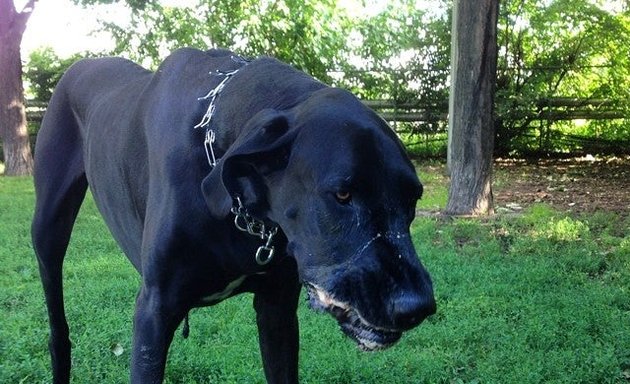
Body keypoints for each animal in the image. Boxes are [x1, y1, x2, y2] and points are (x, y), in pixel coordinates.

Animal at [32, 48, 436, 384]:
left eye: (413, 199)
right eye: (342, 194)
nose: (418, 307)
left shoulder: (277, 309)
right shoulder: (153, 314)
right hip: (49, 229)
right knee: (57, 325)